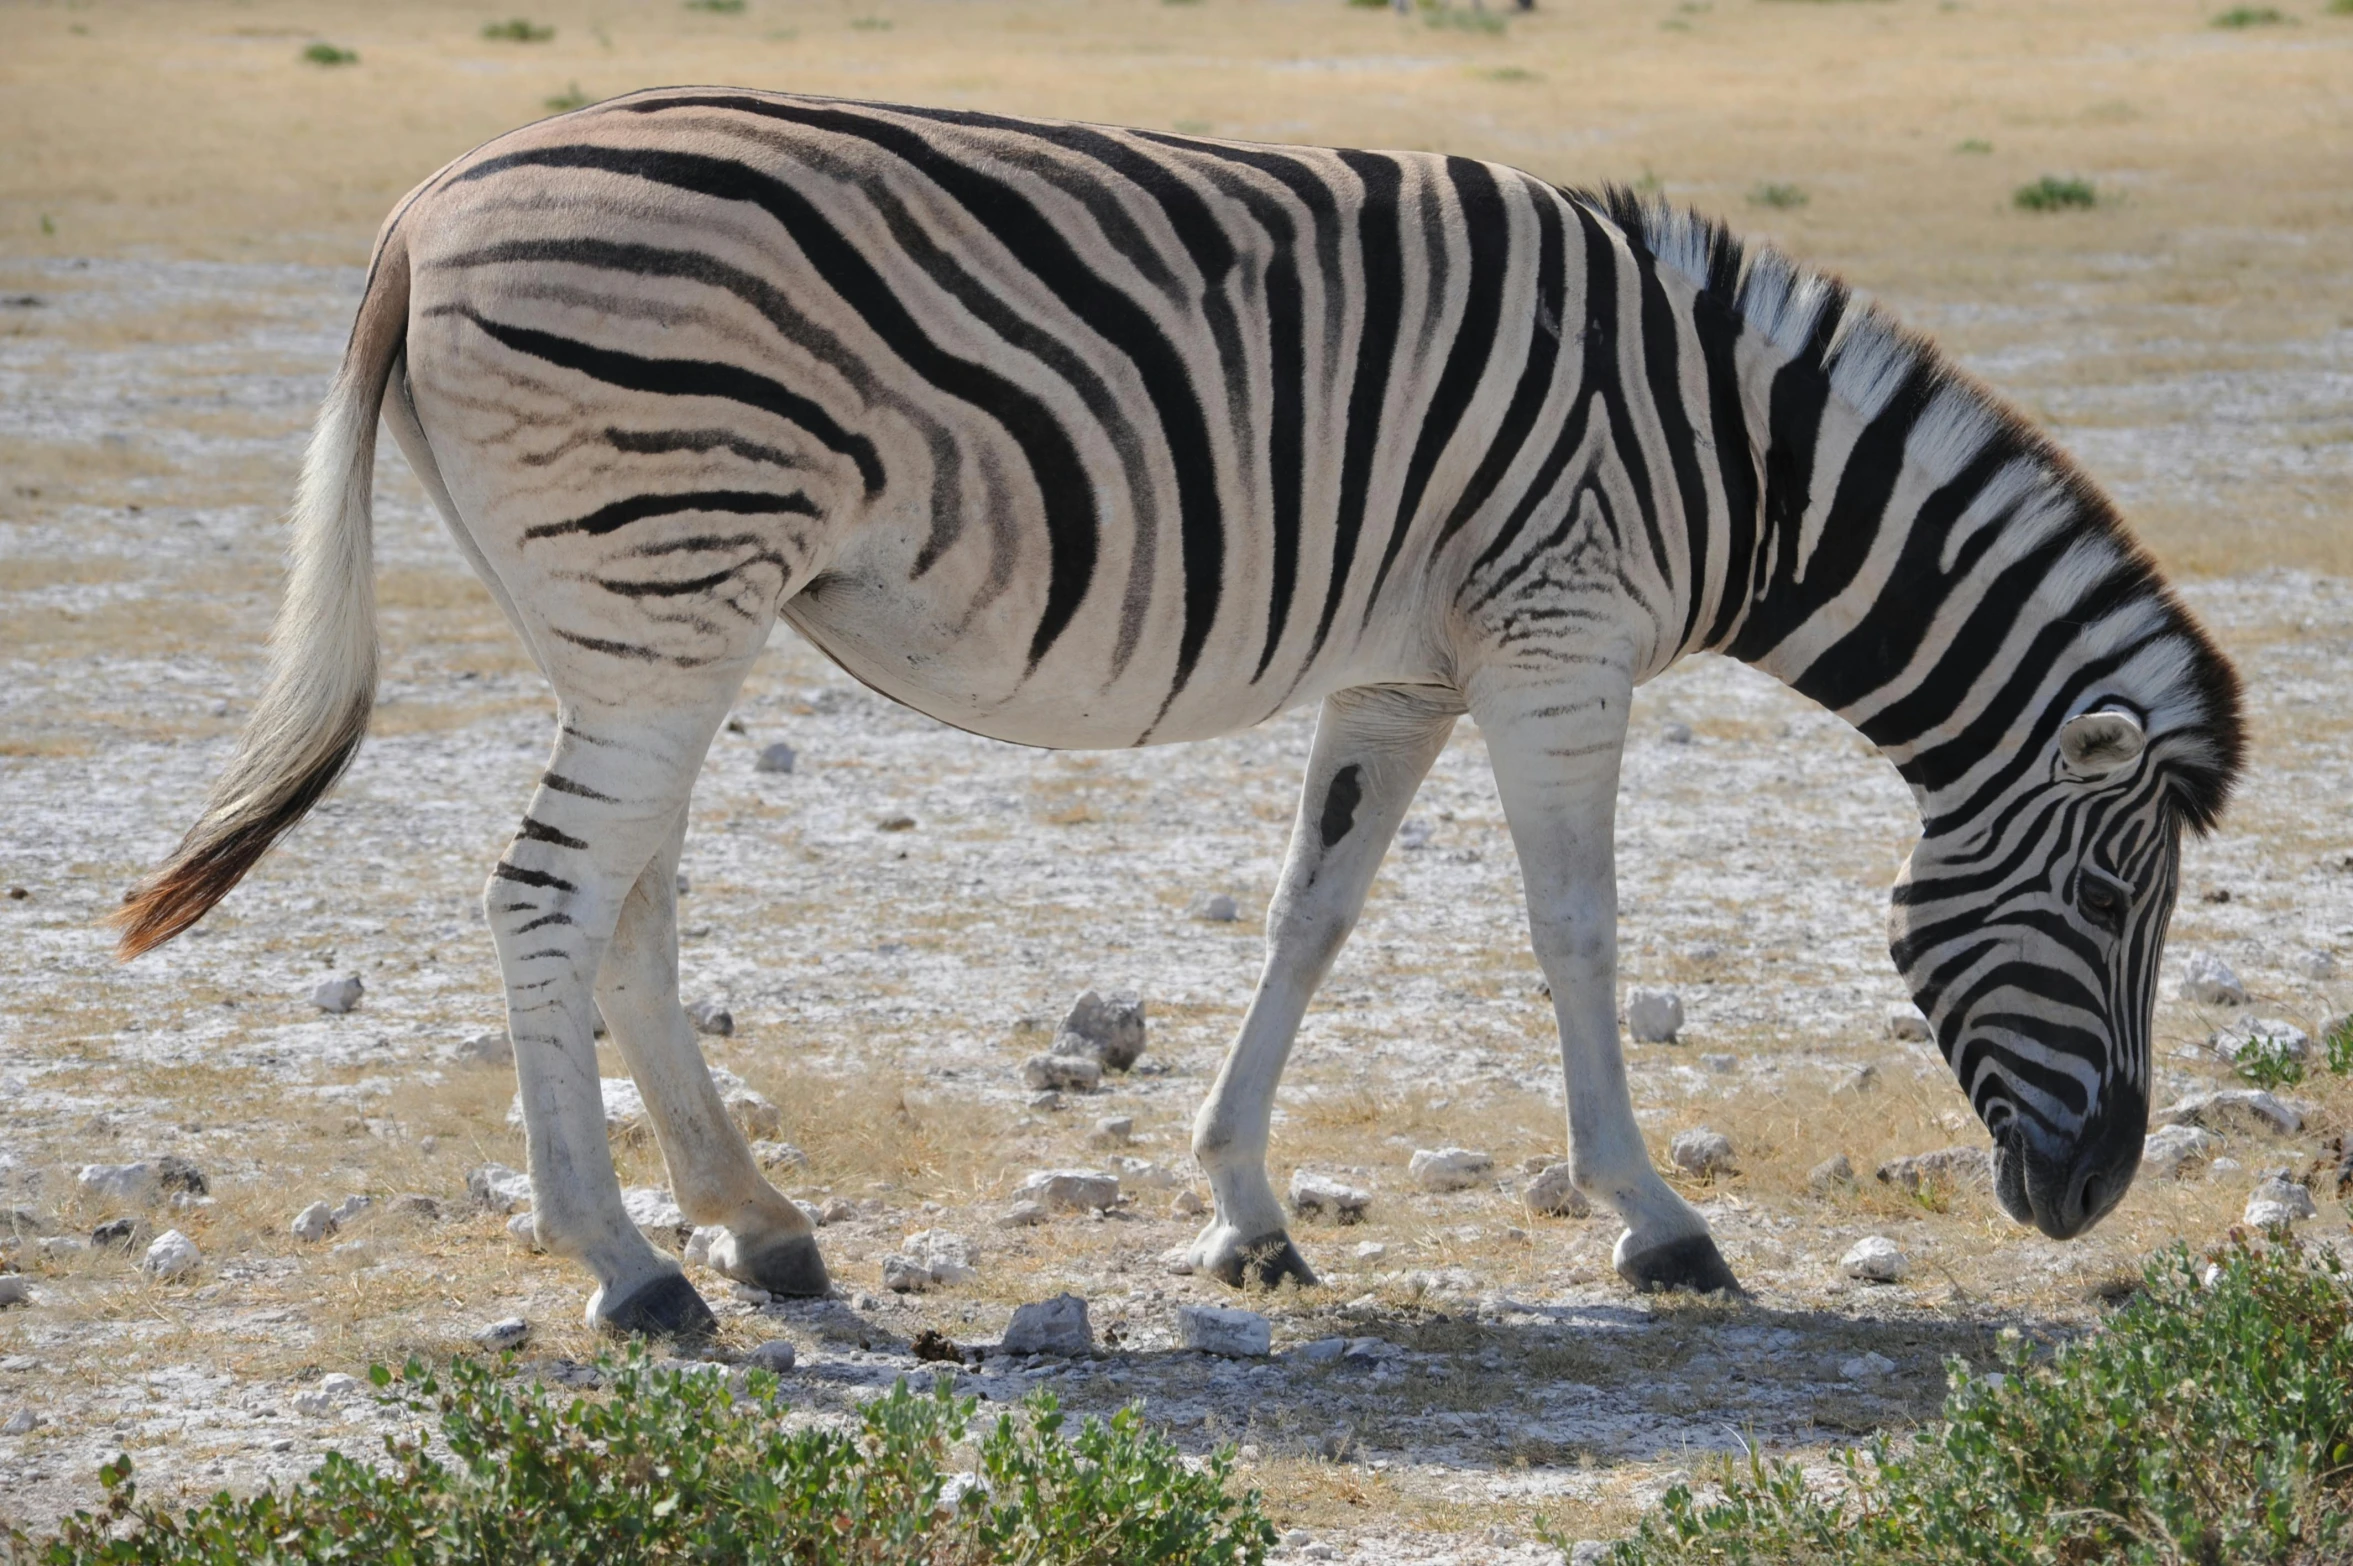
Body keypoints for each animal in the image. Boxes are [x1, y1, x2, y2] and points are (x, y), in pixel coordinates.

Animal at [110, 85, 2240, 1326]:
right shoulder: (1554, 639)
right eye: (2106, 903)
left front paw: (1243, 1211)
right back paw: (629, 1264)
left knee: (625, 899)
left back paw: (754, 1219)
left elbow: (1314, 913)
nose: (2092, 1196)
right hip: (662, 583)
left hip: (653, 616)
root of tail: (422, 205)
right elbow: (1575, 929)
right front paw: (1654, 1219)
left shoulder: (1403, 665)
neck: (1737, 459)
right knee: (545, 896)